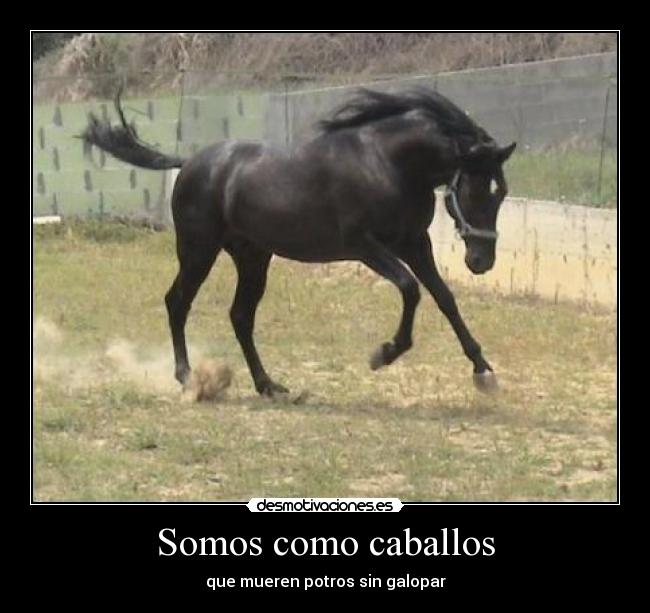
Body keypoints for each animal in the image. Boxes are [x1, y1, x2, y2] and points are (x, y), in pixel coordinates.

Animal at [82, 87, 516, 396]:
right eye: (475, 189)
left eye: (502, 192)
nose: (481, 261)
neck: (386, 163)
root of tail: (189, 163)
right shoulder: (365, 245)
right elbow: (411, 288)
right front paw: (383, 354)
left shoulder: (414, 242)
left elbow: (444, 298)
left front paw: (483, 372)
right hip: (198, 251)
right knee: (178, 302)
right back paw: (189, 378)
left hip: (253, 258)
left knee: (240, 316)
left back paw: (268, 385)